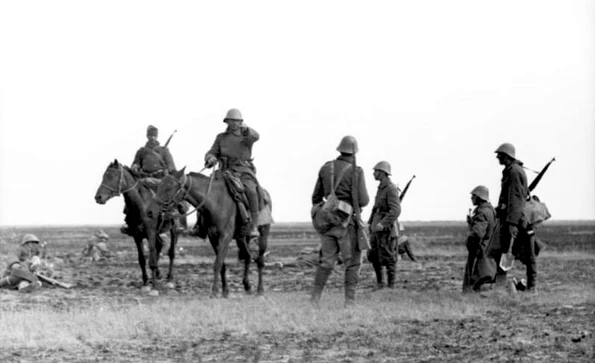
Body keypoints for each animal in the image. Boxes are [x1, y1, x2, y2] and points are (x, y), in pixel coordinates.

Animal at [94, 159, 178, 292]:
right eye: (104, 176)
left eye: (112, 176)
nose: (98, 197)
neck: (141, 205)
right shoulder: (137, 235)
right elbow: (142, 259)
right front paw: (146, 283)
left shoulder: (150, 232)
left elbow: (152, 259)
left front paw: (154, 286)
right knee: (160, 245)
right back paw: (158, 275)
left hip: (173, 230)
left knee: (171, 253)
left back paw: (169, 279)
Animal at [148, 168, 272, 298]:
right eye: (159, 186)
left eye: (169, 188)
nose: (150, 212)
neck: (216, 202)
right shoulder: (213, 238)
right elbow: (221, 265)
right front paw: (224, 291)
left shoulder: (225, 238)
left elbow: (217, 263)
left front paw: (214, 291)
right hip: (241, 238)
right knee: (247, 257)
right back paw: (247, 285)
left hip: (263, 235)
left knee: (260, 260)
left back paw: (260, 290)